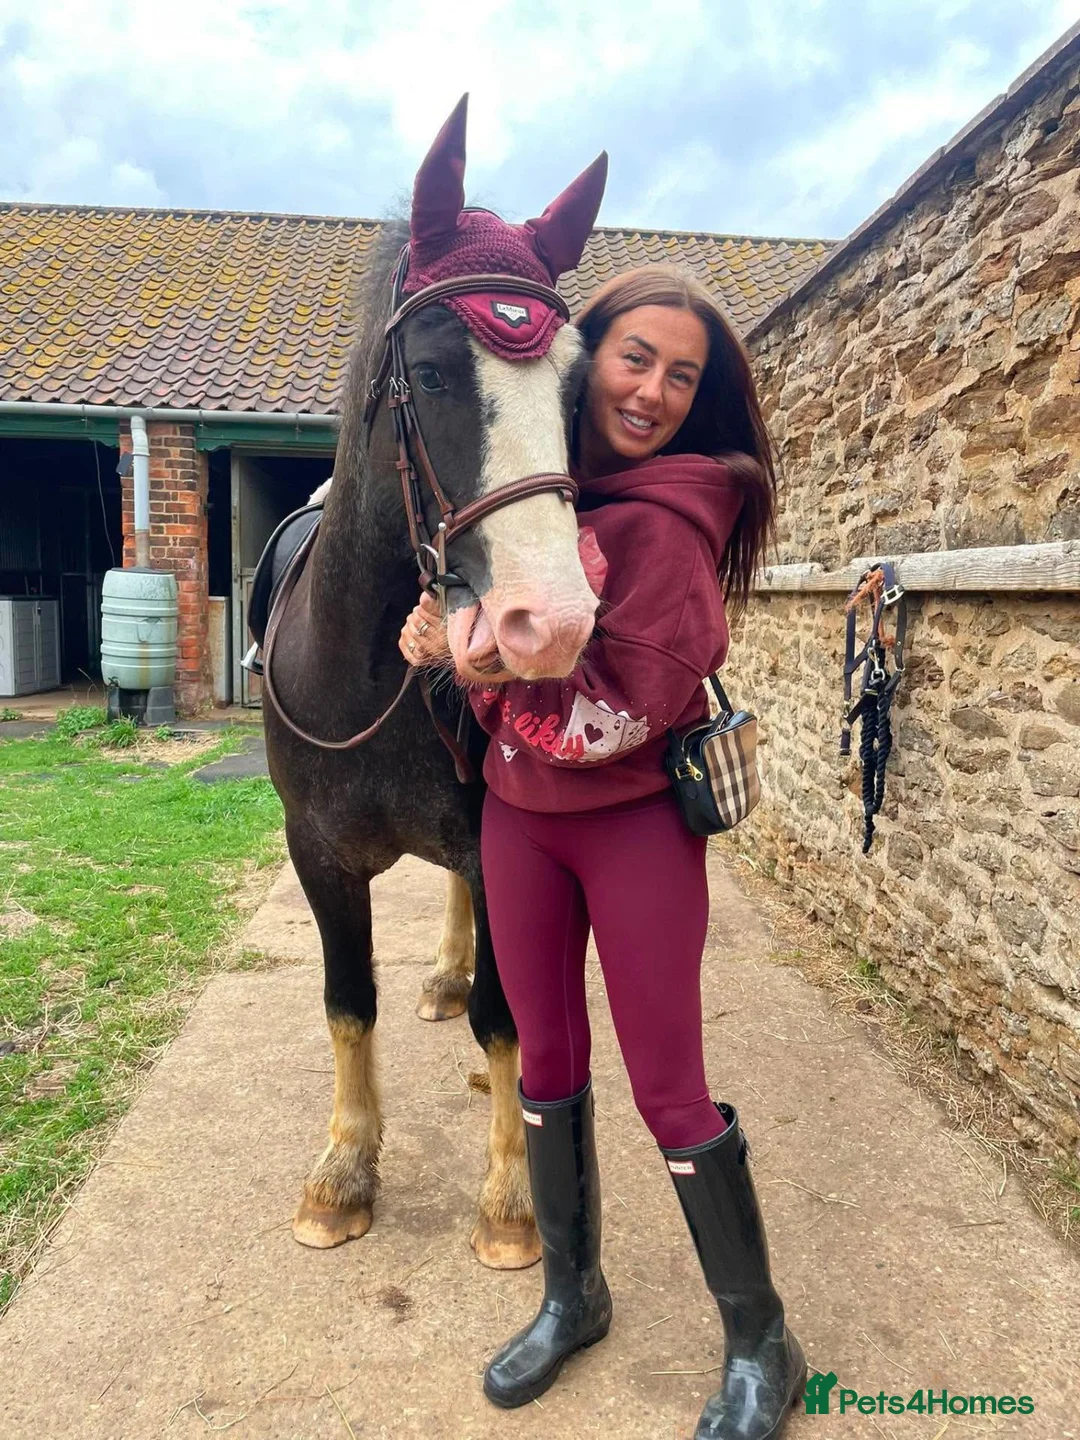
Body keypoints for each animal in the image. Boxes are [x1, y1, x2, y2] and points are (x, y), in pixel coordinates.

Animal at [262, 96, 608, 1270]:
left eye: (577, 387)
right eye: (435, 369)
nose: (552, 624)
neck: (369, 675)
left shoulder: (498, 840)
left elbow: (508, 1021)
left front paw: (509, 1200)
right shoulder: (317, 854)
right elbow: (345, 1003)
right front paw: (341, 1171)